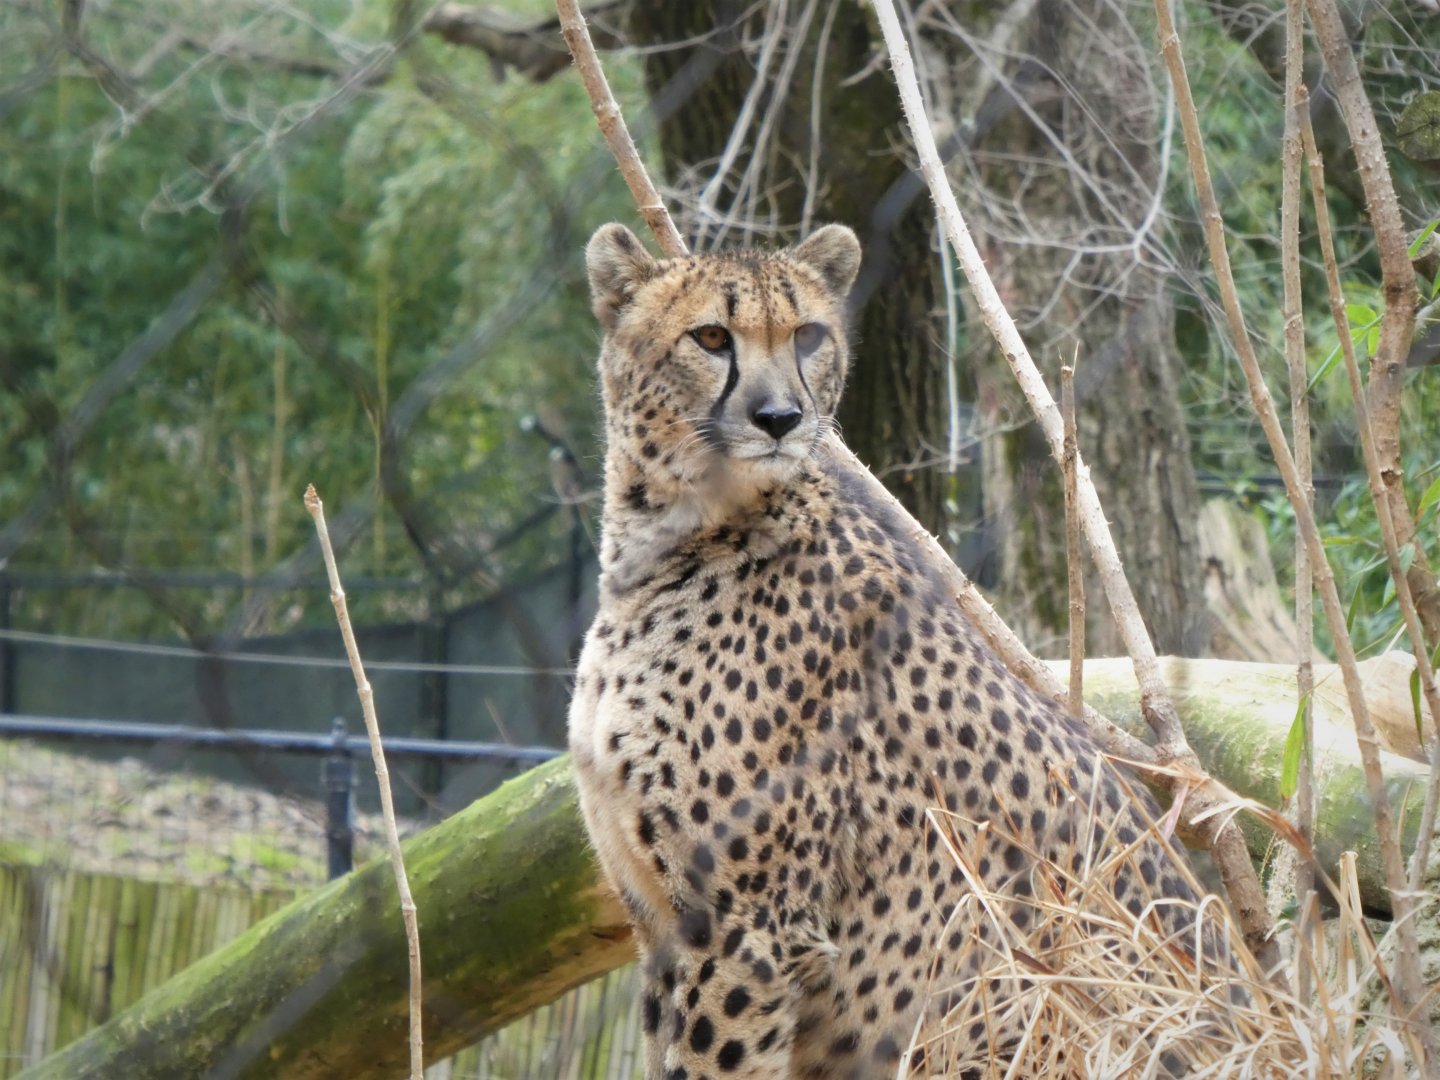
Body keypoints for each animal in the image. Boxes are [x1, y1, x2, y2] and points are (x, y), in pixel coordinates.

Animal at [567, 222, 1212, 1079]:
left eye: (807, 336)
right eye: (709, 337)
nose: (781, 417)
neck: (668, 542)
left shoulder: (746, 928)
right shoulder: (662, 922)